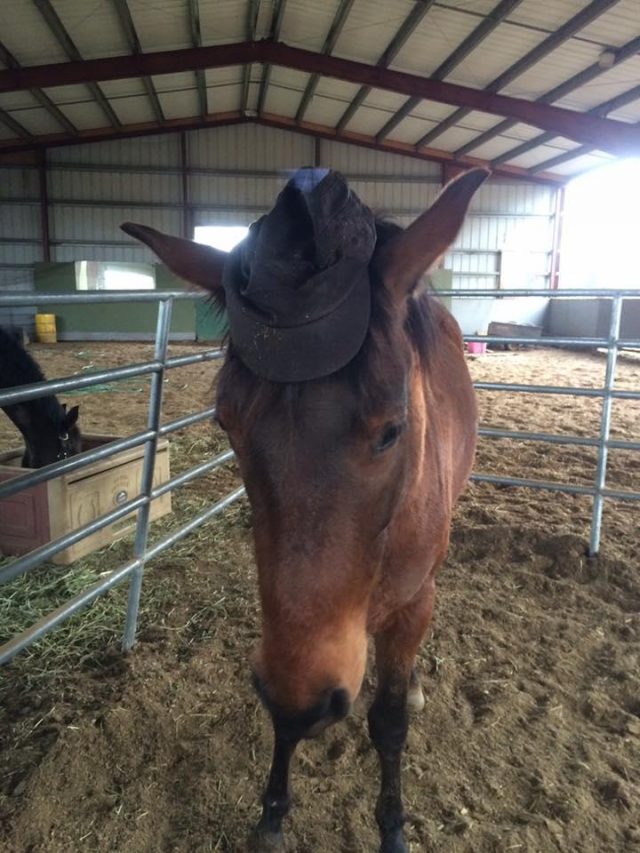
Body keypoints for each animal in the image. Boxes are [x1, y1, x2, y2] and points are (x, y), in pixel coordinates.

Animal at [122, 165, 488, 853]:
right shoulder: (289, 638)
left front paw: (392, 826)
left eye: (391, 430)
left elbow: (388, 721)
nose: (310, 703)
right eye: (226, 423)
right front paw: (271, 814)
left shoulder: (408, 601)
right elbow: (283, 713)